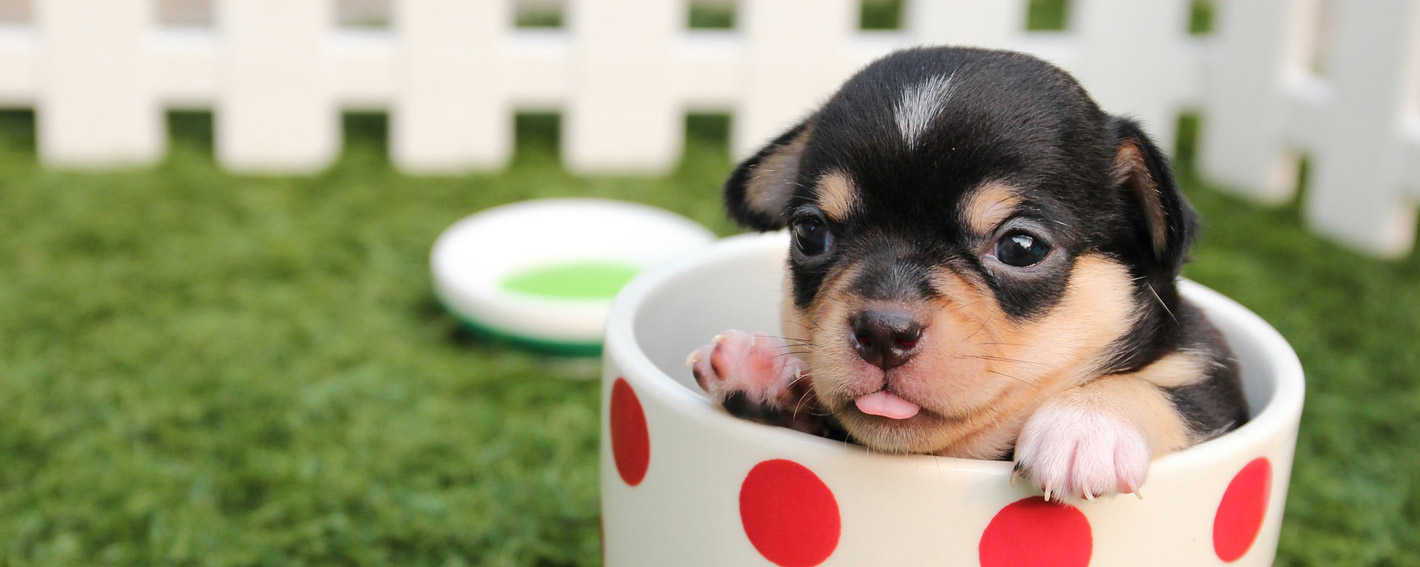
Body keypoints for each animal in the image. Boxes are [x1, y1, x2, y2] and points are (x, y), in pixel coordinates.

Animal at [687, 46, 1255, 503]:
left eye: (1021, 247)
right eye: (810, 232)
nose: (882, 332)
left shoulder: (1214, 378)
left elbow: (1168, 389)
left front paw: (1086, 425)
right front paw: (763, 368)